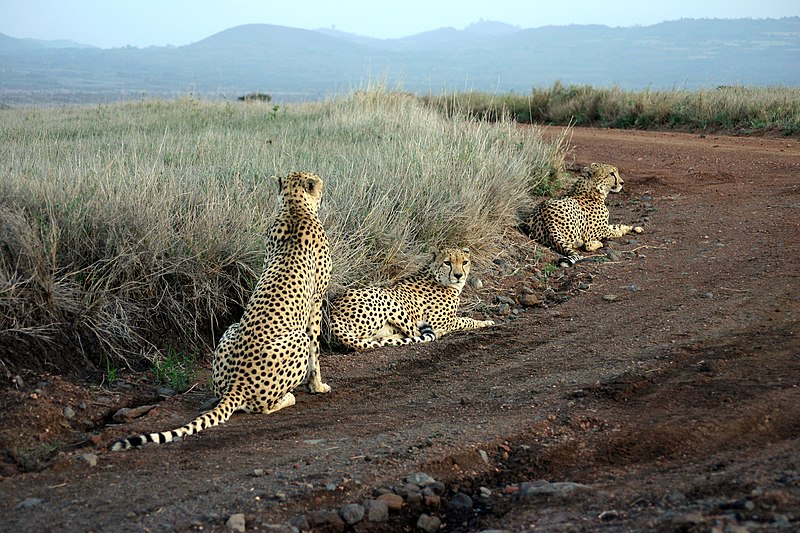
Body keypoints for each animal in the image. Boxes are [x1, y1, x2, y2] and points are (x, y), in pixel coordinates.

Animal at [110, 170, 332, 448]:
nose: (323, 190)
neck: (294, 207)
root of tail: (237, 384)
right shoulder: (316, 302)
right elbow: (316, 349)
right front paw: (318, 386)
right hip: (296, 339)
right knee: (263, 406)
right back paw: (288, 398)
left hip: (232, 330)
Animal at [326, 247, 494, 352]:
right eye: (447, 262)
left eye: (465, 262)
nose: (458, 275)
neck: (437, 277)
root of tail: (332, 312)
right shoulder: (439, 321)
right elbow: (466, 320)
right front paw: (485, 322)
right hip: (390, 301)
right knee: (415, 333)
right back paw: (438, 333)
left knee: (379, 339)